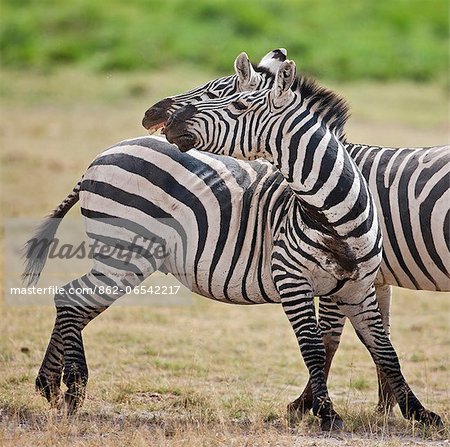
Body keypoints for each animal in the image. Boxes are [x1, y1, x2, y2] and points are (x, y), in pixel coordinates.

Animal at [142, 51, 450, 412]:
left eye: (217, 92)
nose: (151, 115)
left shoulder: (348, 279)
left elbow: (332, 337)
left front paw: (307, 404)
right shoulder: (374, 280)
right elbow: (379, 337)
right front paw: (387, 406)